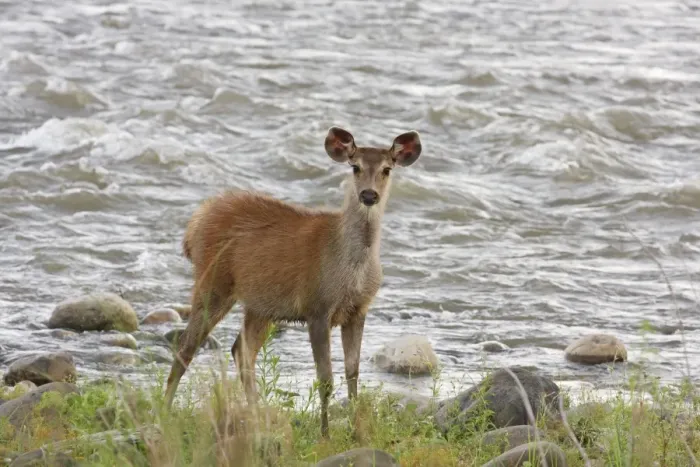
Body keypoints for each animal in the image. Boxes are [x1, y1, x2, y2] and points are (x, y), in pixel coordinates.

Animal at [163, 126, 423, 438]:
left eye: (386, 169)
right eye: (355, 166)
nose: (369, 195)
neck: (352, 269)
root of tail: (193, 225)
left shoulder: (358, 310)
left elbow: (353, 372)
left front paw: (357, 431)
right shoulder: (318, 307)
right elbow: (325, 378)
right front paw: (325, 434)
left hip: (260, 305)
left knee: (241, 351)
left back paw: (256, 416)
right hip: (214, 283)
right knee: (186, 347)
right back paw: (161, 413)